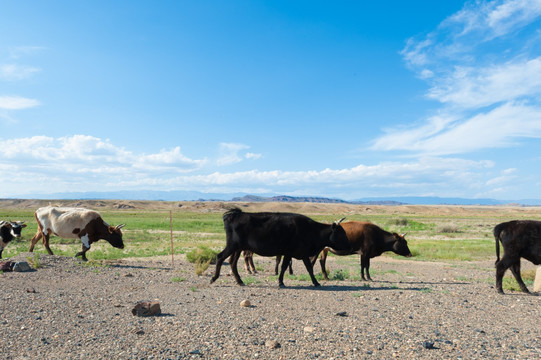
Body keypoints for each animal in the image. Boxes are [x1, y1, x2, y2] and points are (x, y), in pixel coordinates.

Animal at [209, 208, 348, 286]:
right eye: (341, 233)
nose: (348, 244)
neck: (311, 230)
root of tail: (236, 214)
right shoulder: (294, 252)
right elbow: (295, 267)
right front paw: (316, 282)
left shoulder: (295, 254)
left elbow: (299, 267)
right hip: (232, 246)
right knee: (220, 257)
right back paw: (214, 278)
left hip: (237, 248)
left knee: (232, 262)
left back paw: (240, 281)